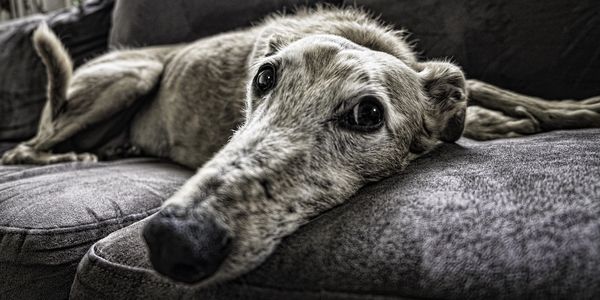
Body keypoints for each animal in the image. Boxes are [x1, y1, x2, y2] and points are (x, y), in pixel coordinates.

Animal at [3, 7, 600, 288]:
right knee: (25, 149)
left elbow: (488, 87)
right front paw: (502, 122)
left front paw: (569, 110)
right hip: (131, 75)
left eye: (367, 114)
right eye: (263, 77)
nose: (174, 239)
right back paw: (70, 155)